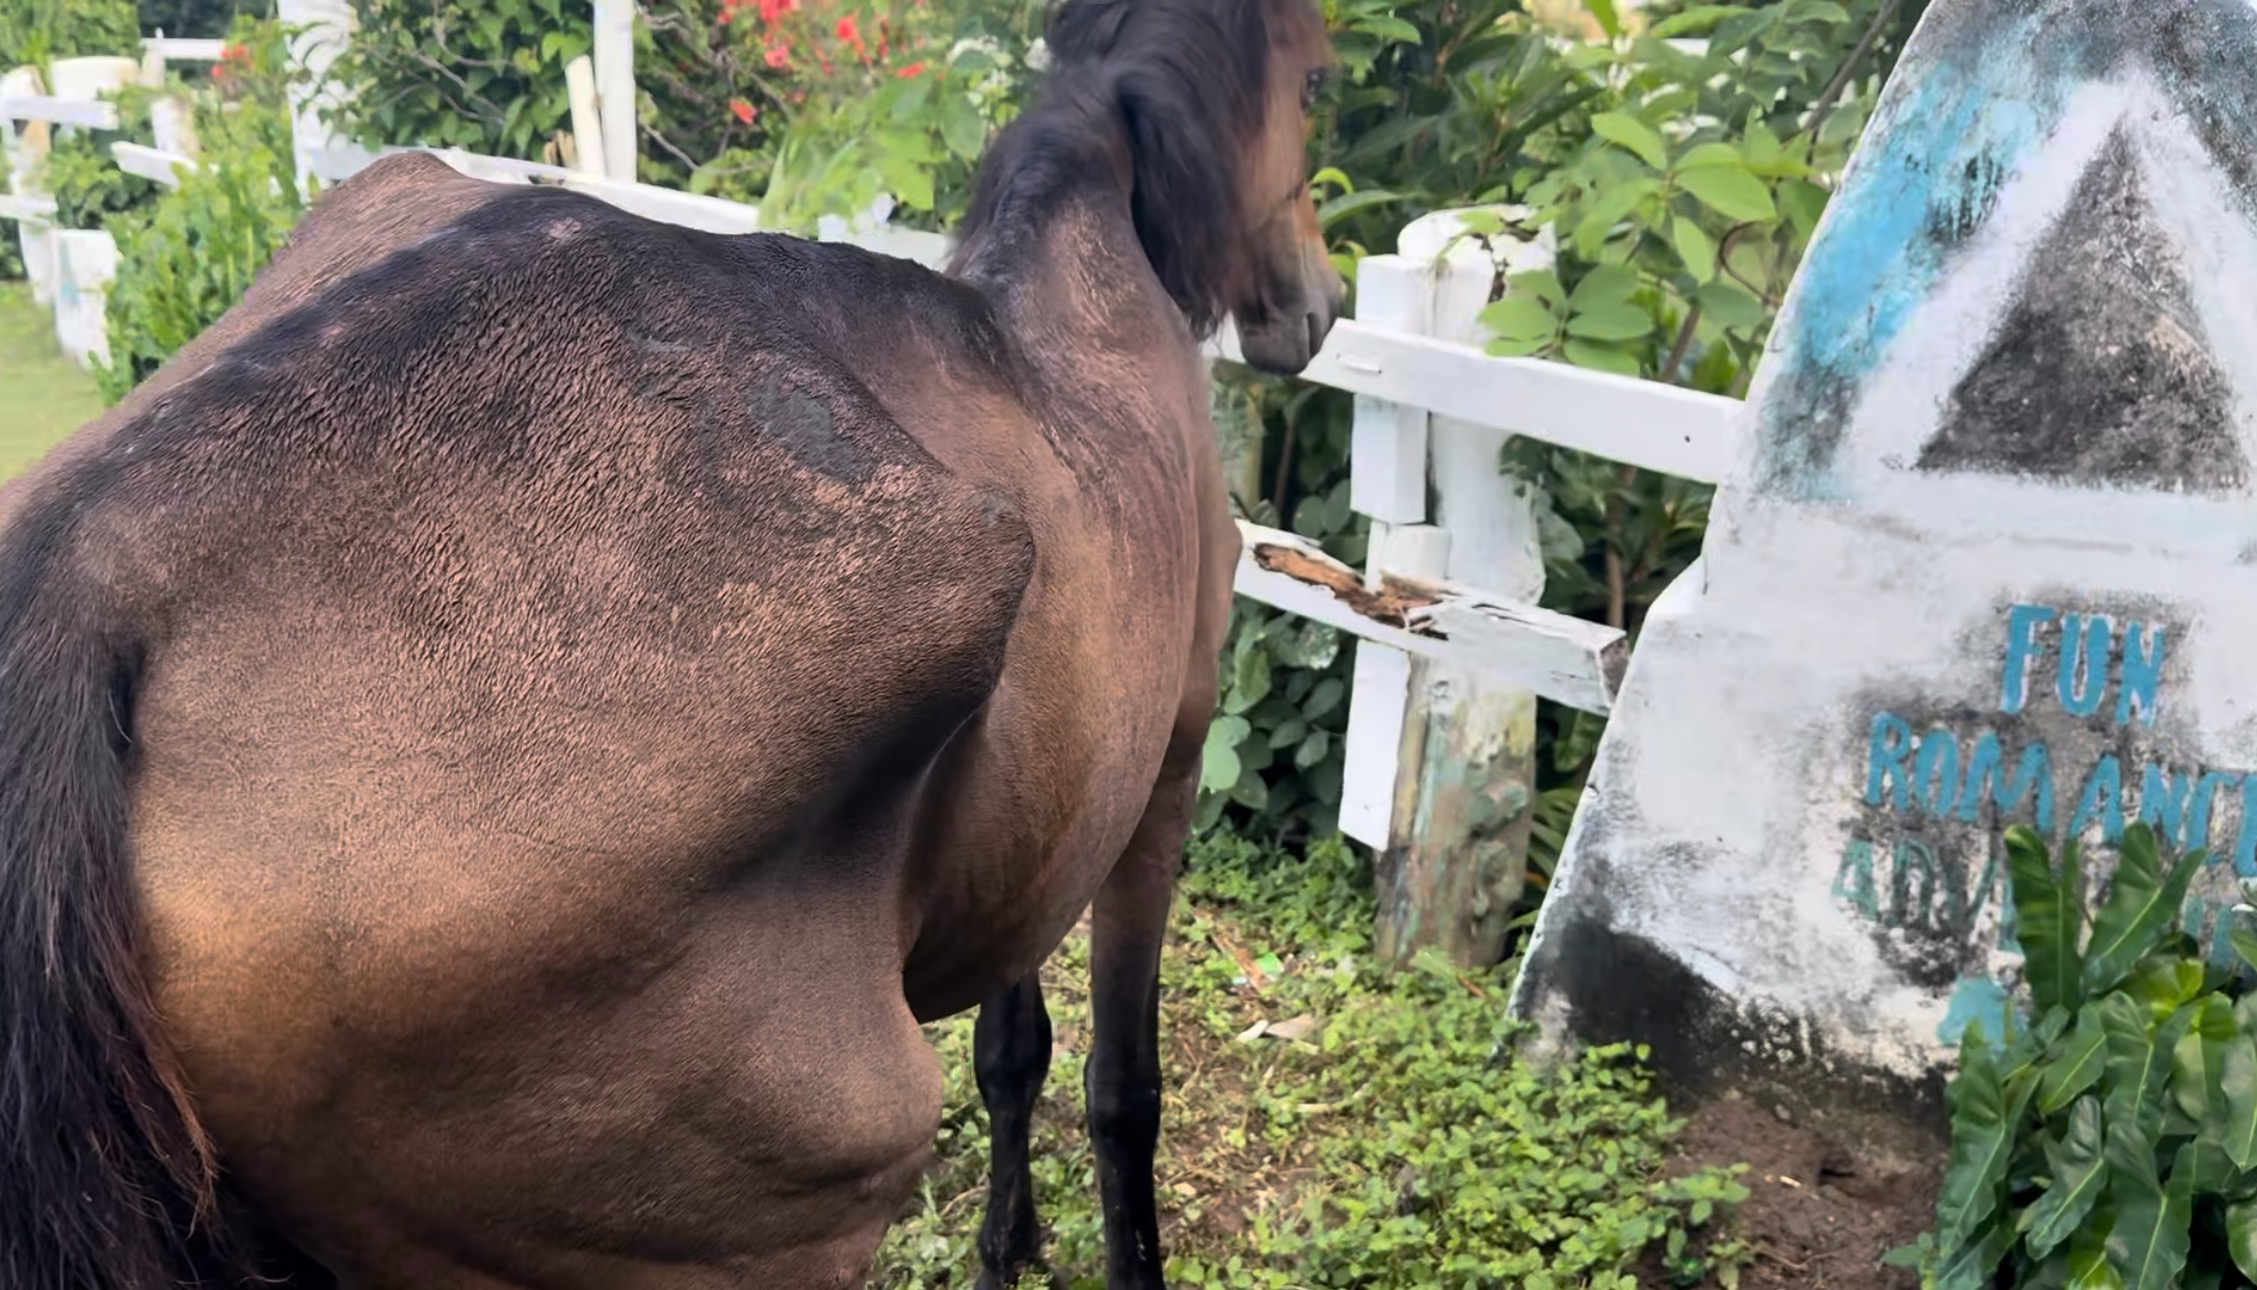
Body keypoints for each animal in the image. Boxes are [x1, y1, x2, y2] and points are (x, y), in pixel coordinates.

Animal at [0, 0, 1341, 1285]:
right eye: (1314, 77)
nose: (1316, 305)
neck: (1083, 293)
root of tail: (107, 557)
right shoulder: (1163, 778)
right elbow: (1122, 1095)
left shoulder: (1051, 823)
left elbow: (1014, 1052)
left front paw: (1006, 1246)